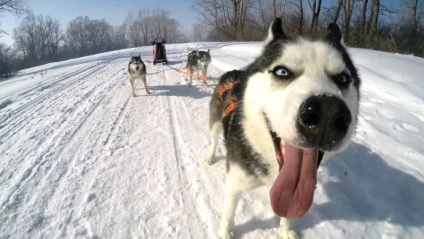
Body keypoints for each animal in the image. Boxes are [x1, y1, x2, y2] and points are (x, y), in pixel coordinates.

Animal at [205, 17, 362, 238]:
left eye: (343, 78)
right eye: (282, 71)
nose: (327, 113)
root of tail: (234, 73)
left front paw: (286, 230)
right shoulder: (235, 184)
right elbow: (228, 214)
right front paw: (226, 233)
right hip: (215, 124)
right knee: (213, 139)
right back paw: (210, 156)